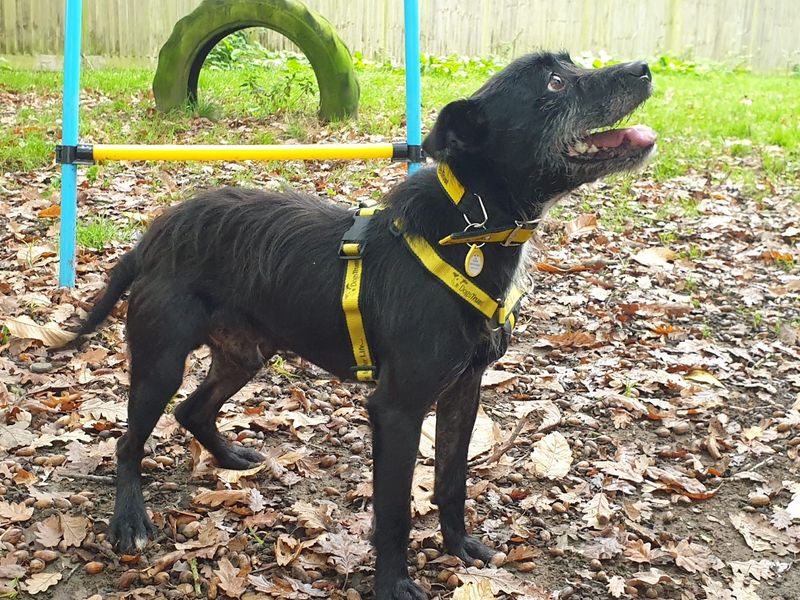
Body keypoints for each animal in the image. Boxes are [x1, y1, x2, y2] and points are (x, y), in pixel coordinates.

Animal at [72, 52, 652, 600]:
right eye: (555, 82)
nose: (644, 69)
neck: (472, 229)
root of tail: (151, 238)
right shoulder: (396, 409)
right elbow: (393, 512)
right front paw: (393, 583)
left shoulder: (463, 390)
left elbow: (452, 481)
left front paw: (458, 545)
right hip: (161, 363)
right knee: (129, 443)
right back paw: (129, 520)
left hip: (245, 354)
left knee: (192, 410)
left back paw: (232, 456)